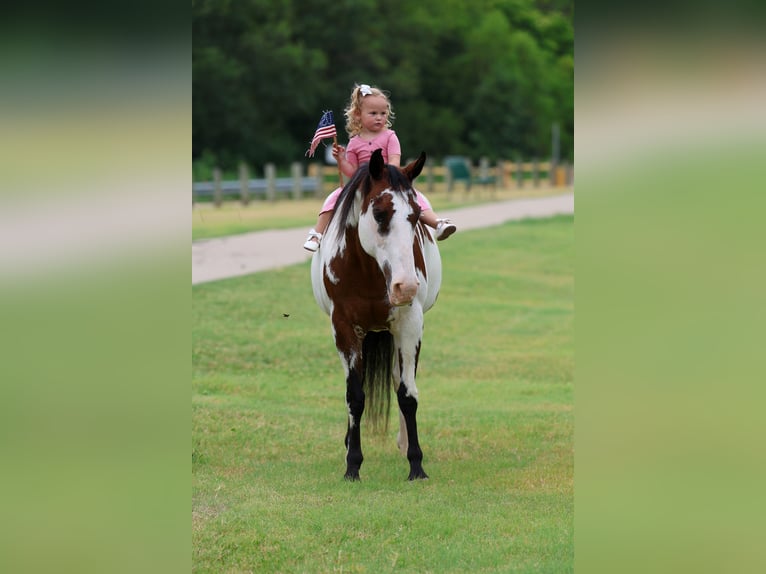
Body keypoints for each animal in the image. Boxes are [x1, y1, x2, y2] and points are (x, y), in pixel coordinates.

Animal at [310, 148, 442, 481]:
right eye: (380, 214)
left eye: (416, 216)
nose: (406, 286)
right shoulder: (344, 328)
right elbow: (355, 396)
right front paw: (352, 465)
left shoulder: (409, 326)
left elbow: (407, 394)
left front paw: (416, 465)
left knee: (399, 380)